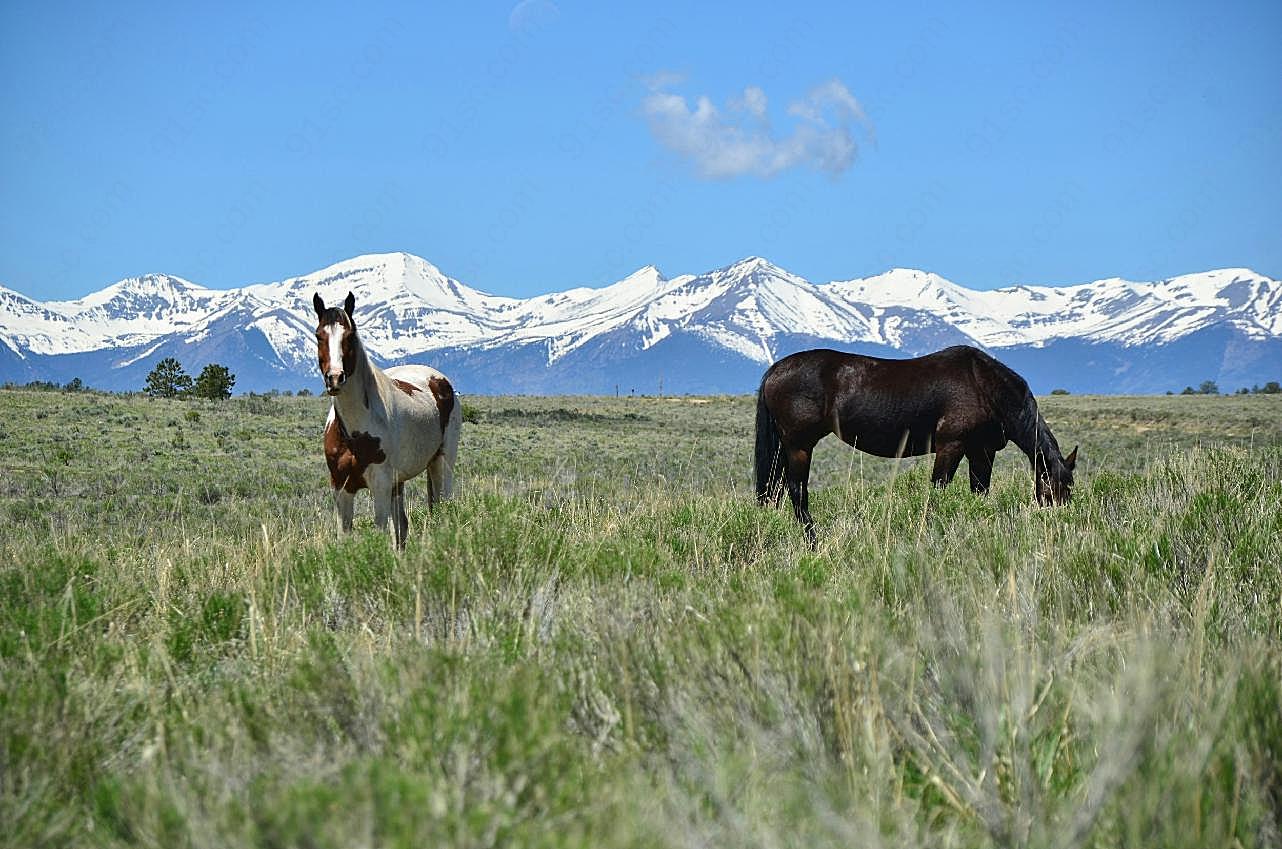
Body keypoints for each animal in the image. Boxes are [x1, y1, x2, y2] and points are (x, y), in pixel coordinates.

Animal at [314, 289, 464, 548]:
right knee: (402, 528)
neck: (354, 432)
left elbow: (380, 533)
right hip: (398, 483)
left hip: (441, 463)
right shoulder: (341, 487)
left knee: (442, 510)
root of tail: (440, 380)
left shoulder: (380, 485)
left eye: (349, 336)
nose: (335, 378)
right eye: (318, 336)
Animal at [753, 348, 1076, 541]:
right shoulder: (951, 446)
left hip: (786, 448)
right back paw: (813, 541)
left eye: (1069, 491)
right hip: (799, 446)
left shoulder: (981, 451)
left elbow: (979, 493)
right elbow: (938, 490)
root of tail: (775, 369)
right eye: (1052, 492)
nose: (1060, 528)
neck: (982, 384)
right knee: (797, 492)